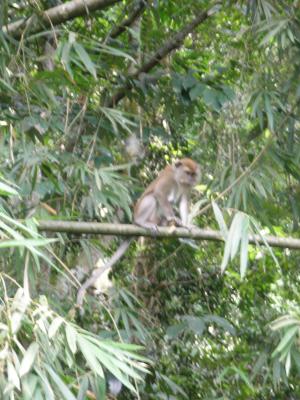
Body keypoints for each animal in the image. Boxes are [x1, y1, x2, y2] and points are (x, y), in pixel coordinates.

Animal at [76, 157, 200, 306]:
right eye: (188, 173)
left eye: (193, 174)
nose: (192, 180)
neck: (179, 179)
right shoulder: (168, 179)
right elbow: (159, 193)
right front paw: (173, 217)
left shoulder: (187, 188)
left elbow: (183, 202)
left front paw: (186, 225)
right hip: (141, 211)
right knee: (151, 198)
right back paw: (143, 222)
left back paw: (164, 224)